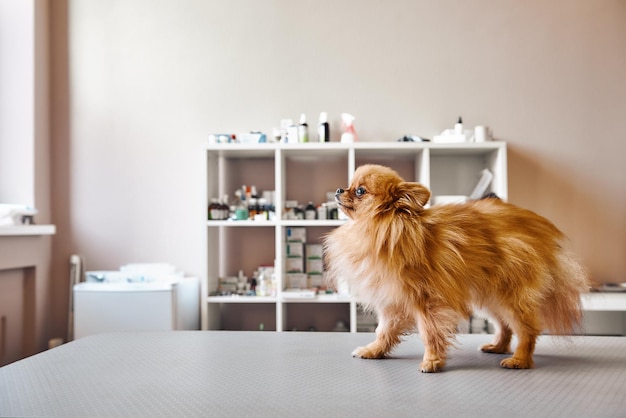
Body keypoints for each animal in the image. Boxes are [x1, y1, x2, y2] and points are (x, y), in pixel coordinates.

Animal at [324, 164, 588, 372]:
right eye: (349, 185)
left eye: (360, 191)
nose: (338, 190)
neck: (383, 227)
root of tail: (536, 226)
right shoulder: (392, 300)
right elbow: (384, 331)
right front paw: (374, 351)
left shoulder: (427, 300)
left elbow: (429, 333)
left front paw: (432, 361)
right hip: (491, 296)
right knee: (505, 325)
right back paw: (498, 346)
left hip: (511, 295)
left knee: (526, 329)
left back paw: (520, 359)